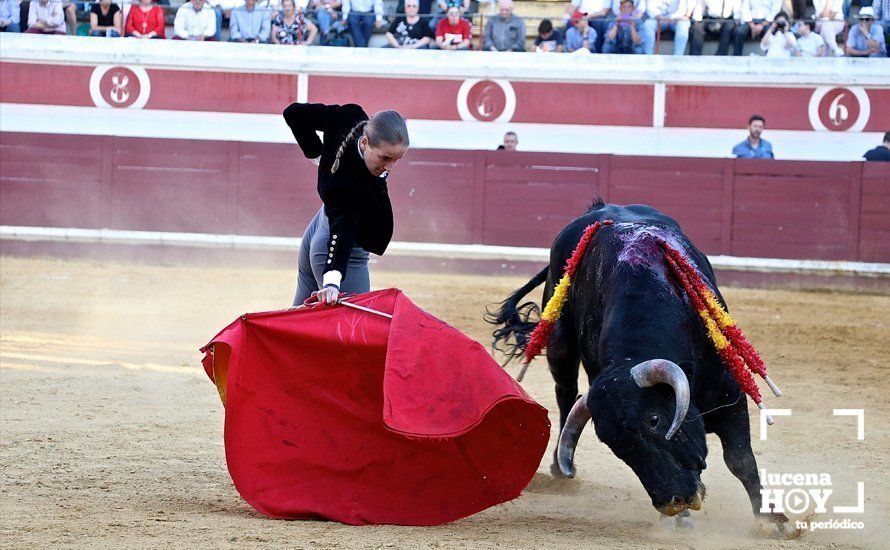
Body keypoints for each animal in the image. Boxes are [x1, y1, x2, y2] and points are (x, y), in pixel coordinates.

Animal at [490, 201, 788, 532]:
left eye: (654, 420)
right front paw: (682, 520)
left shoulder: (730, 395)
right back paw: (559, 466)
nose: (673, 502)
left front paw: (773, 519)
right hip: (559, 343)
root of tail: (601, 206)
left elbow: (740, 459)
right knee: (565, 393)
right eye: (615, 445)